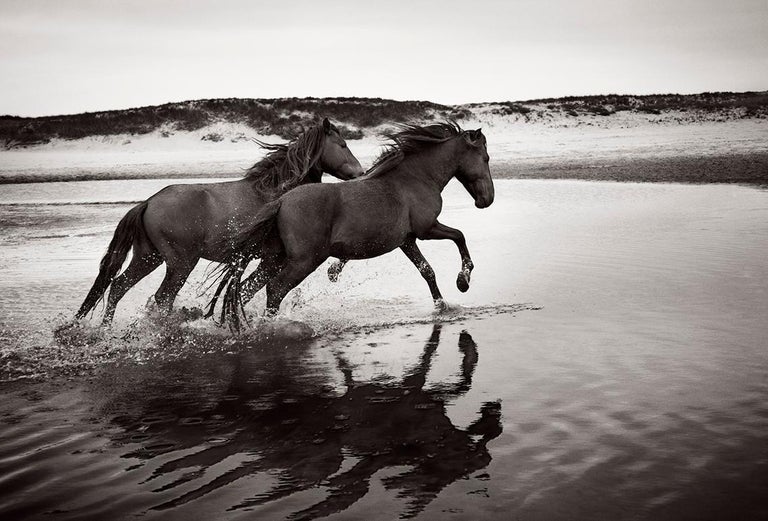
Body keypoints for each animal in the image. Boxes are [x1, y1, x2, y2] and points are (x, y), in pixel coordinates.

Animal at [75, 118, 364, 324]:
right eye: (342, 144)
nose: (360, 173)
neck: (276, 194)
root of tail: (148, 202)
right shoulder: (274, 258)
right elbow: (255, 289)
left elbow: (249, 290)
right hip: (180, 263)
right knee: (162, 297)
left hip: (148, 257)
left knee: (118, 286)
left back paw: (105, 329)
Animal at [214, 122, 494, 327]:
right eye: (486, 158)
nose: (487, 200)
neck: (414, 178)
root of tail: (281, 202)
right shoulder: (427, 229)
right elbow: (459, 236)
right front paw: (463, 280)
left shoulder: (407, 240)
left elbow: (427, 271)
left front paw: (442, 306)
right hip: (304, 260)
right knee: (274, 289)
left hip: (275, 259)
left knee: (246, 288)